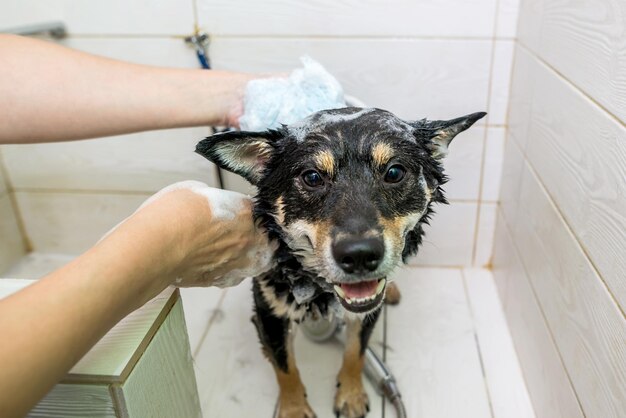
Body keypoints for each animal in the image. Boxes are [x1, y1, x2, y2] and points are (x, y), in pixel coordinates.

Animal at [195, 108, 482, 418]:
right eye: (312, 177)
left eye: (394, 172)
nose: (359, 255)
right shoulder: (269, 312)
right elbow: (285, 368)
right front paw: (294, 408)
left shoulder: (367, 311)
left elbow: (356, 351)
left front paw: (351, 394)